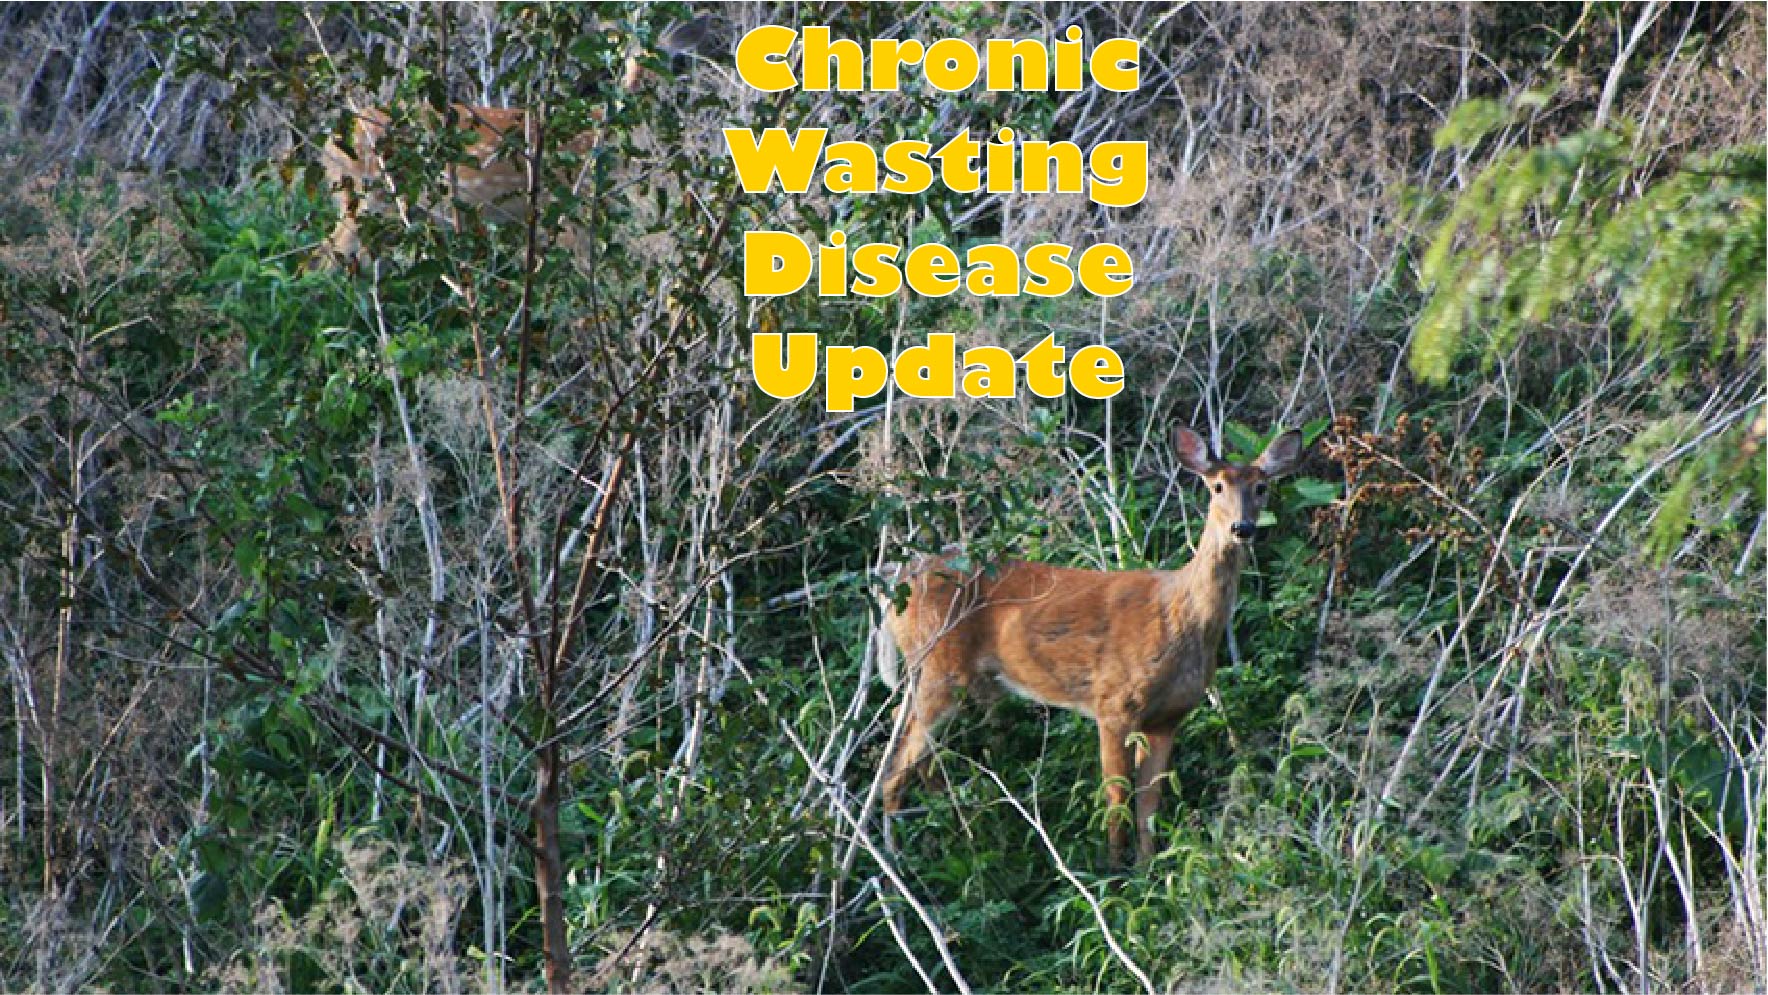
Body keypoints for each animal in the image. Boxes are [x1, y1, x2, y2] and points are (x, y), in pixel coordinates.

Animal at [876, 425, 1304, 867]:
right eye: (1217, 486)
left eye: (1261, 487)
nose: (1242, 528)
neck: (1180, 617)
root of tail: (897, 583)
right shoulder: (1113, 702)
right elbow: (1117, 793)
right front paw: (1113, 868)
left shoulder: (1168, 717)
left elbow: (1149, 801)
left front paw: (1146, 866)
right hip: (939, 664)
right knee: (897, 762)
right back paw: (900, 856)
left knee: (913, 743)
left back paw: (957, 830)